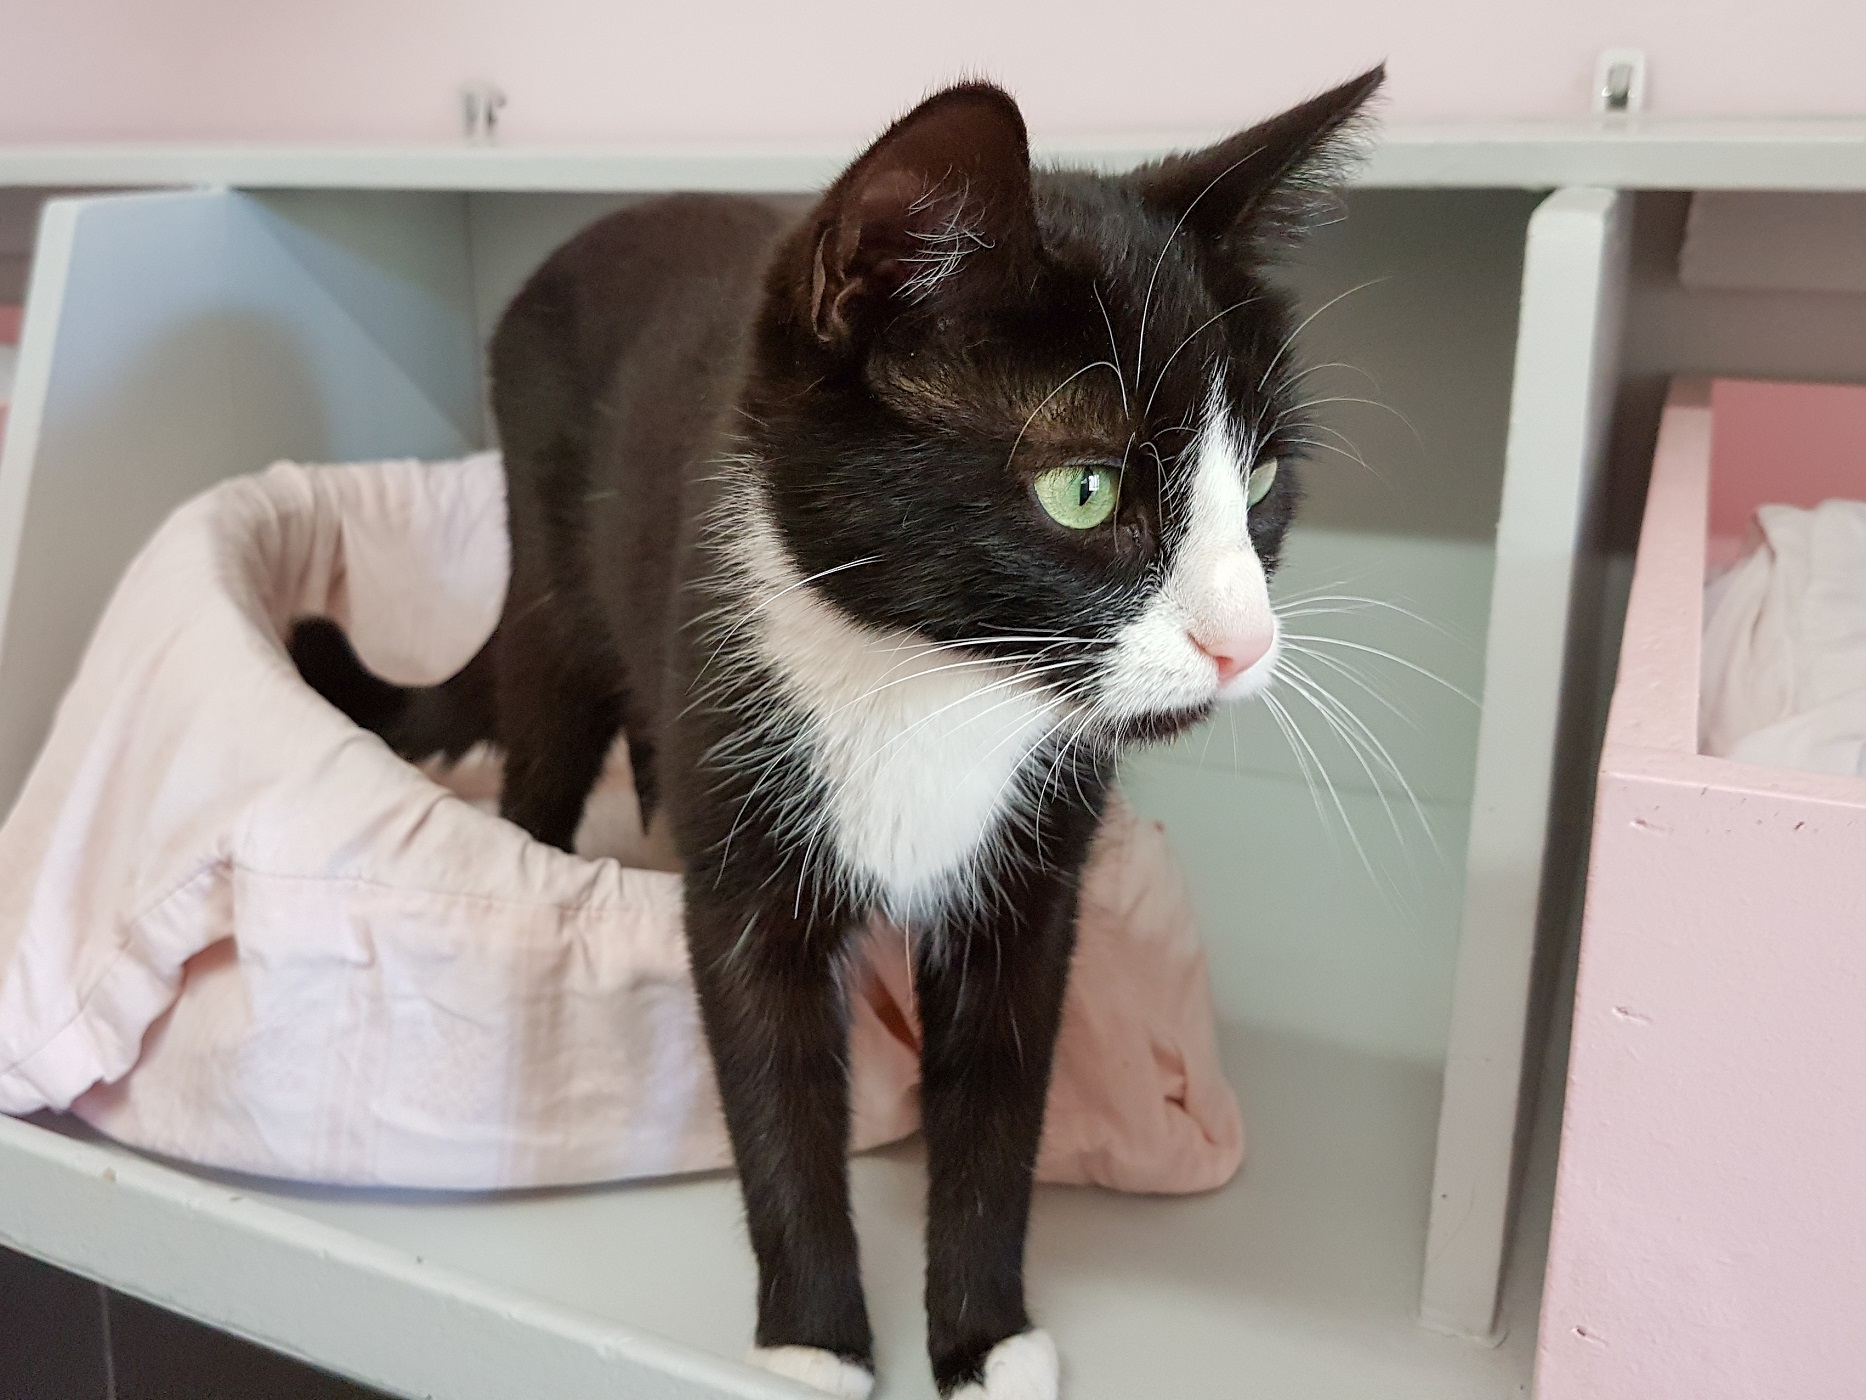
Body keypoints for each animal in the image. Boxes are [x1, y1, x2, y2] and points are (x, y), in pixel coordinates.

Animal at [291, 66, 1382, 1400]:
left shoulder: (1032, 885)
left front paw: (984, 1337)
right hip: (558, 576)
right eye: (1083, 489)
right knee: (547, 732)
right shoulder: (742, 815)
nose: (1245, 641)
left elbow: (999, 1099)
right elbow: (775, 1083)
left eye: (1265, 481)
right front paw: (811, 1344)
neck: (931, 688)